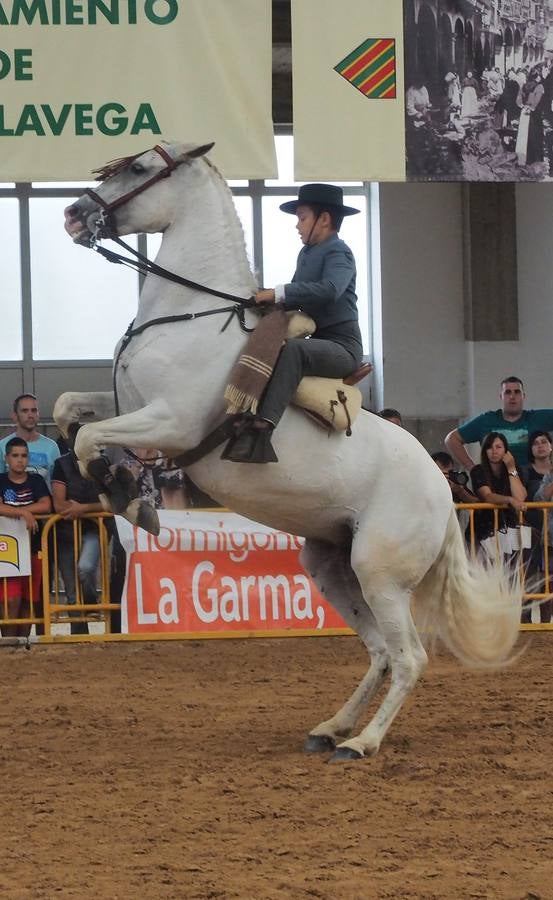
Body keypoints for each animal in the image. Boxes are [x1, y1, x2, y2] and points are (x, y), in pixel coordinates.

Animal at [56, 139, 520, 760]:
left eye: (139, 168)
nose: (74, 214)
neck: (190, 316)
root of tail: (445, 500)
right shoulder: (126, 405)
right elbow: (69, 413)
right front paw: (126, 490)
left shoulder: (170, 422)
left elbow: (88, 437)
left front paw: (129, 497)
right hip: (331, 567)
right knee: (379, 652)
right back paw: (332, 728)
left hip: (379, 573)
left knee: (409, 658)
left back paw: (363, 742)